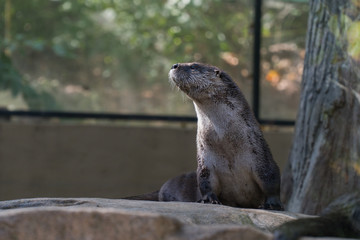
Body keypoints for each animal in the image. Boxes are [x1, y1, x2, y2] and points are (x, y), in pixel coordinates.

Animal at [165, 62, 282, 210]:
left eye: (193, 66)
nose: (174, 65)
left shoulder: (260, 154)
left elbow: (270, 179)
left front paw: (272, 204)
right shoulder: (205, 159)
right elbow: (205, 180)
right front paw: (208, 199)